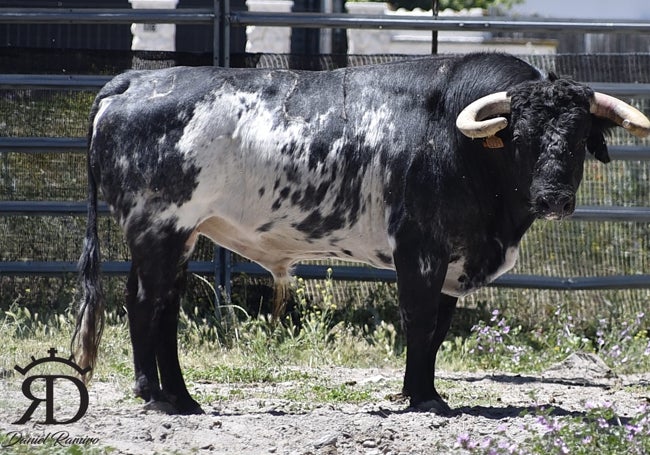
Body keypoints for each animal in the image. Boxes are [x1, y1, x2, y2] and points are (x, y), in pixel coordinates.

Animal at [72, 53, 648, 416]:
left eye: (579, 136)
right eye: (521, 136)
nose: (553, 198)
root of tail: (133, 82)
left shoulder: (451, 261)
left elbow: (438, 330)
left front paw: (421, 390)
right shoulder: (419, 249)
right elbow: (418, 322)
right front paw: (423, 399)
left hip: (178, 236)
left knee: (160, 305)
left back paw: (176, 396)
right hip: (159, 228)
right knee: (145, 302)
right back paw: (160, 396)